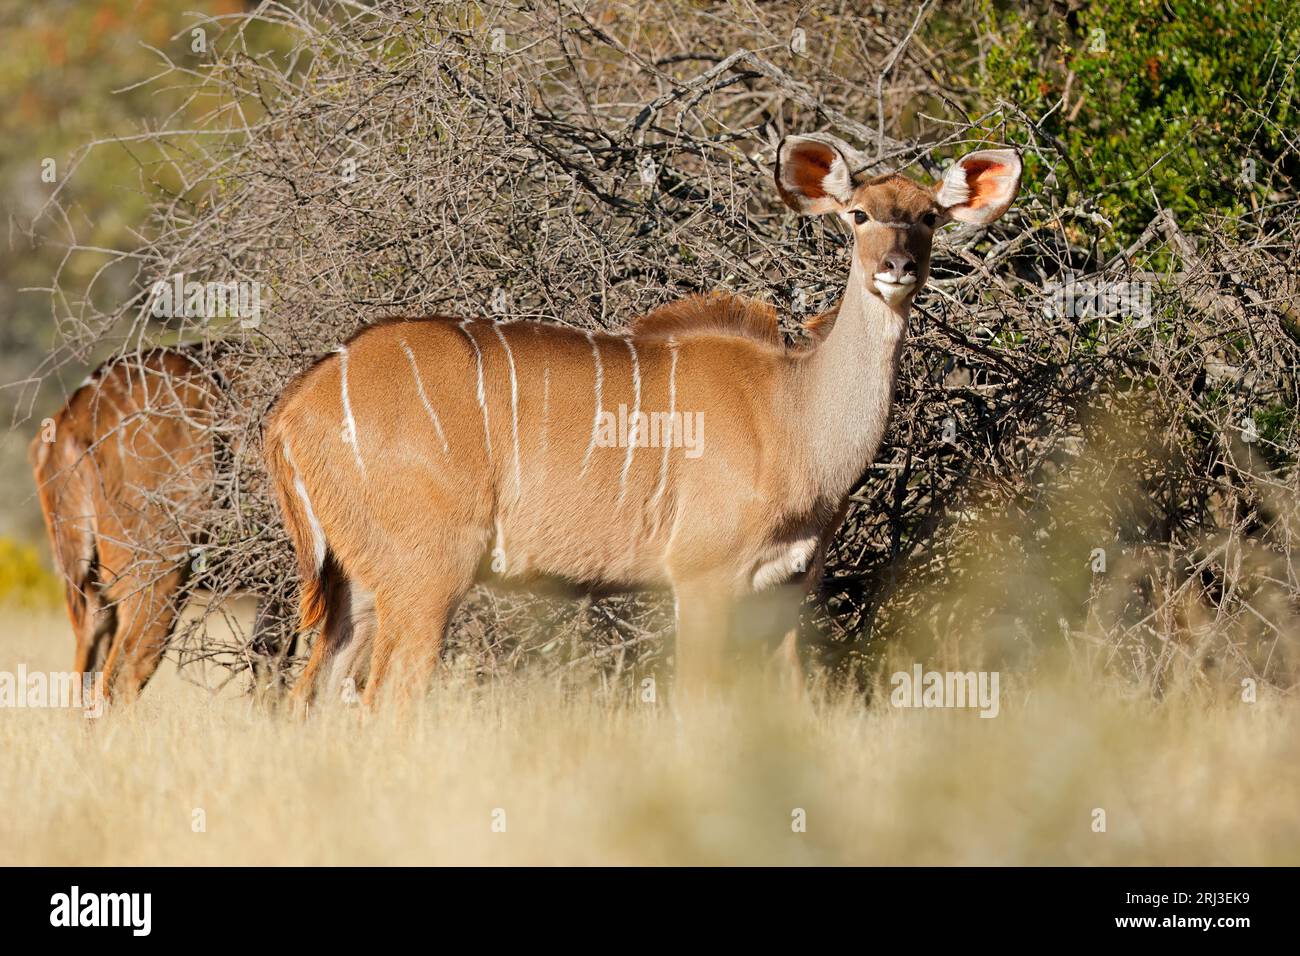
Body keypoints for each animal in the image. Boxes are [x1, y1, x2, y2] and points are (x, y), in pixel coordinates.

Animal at [261, 132, 1013, 712]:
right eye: (857, 214)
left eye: (929, 217)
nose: (897, 266)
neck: (794, 411)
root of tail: (293, 408)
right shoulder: (702, 574)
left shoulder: (789, 588)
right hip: (426, 573)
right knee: (385, 699)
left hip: (358, 581)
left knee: (311, 698)